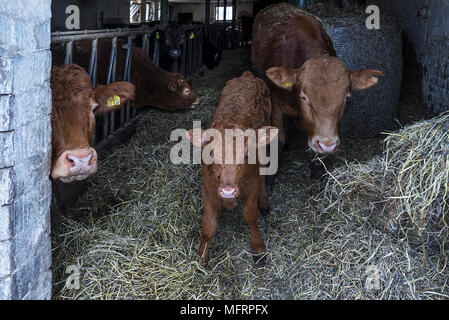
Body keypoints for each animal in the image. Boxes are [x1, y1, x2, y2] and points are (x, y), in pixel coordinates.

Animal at [186, 71, 276, 266]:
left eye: (246, 156)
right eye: (211, 153)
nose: (228, 191)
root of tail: (247, 76)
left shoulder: (251, 186)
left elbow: (250, 216)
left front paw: (258, 248)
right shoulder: (207, 188)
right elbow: (209, 226)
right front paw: (201, 256)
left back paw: (264, 201)